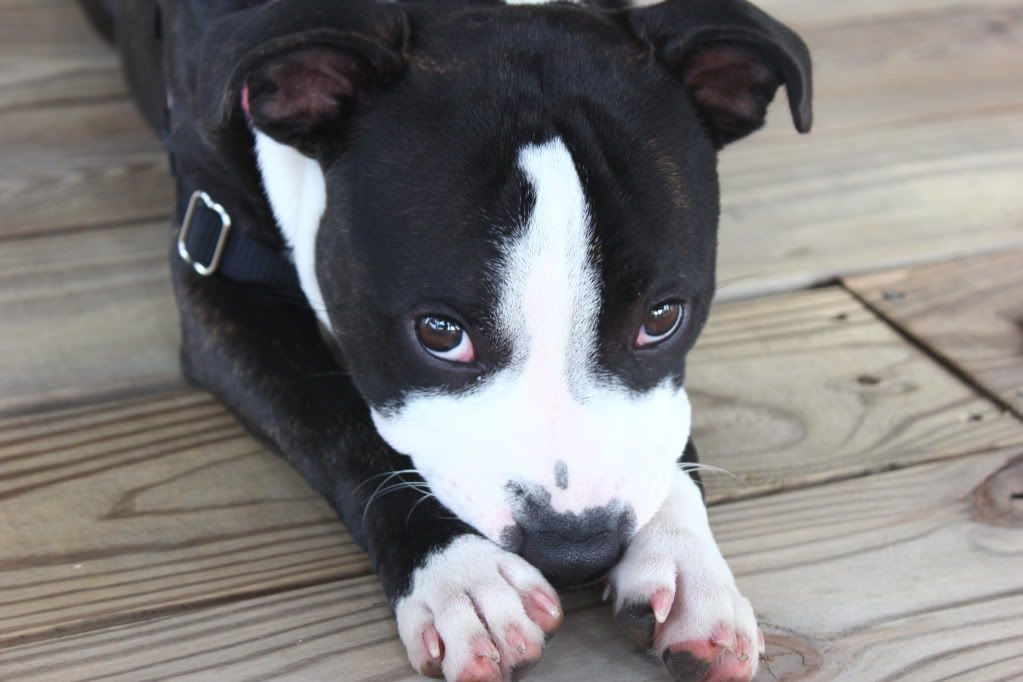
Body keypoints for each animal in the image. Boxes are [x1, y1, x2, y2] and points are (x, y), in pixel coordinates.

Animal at [79, 2, 810, 678]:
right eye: (439, 334)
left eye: (660, 319)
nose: (575, 549)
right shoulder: (220, 276)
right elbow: (341, 428)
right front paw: (462, 577)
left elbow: (665, 422)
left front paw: (684, 558)